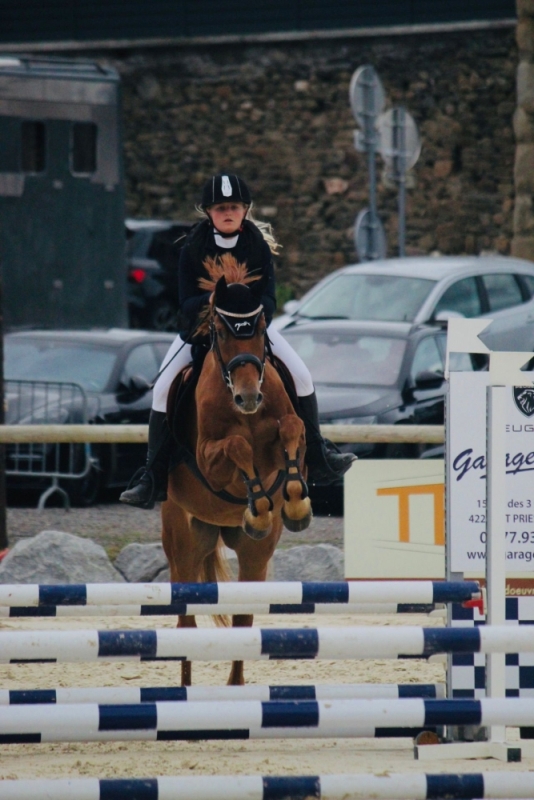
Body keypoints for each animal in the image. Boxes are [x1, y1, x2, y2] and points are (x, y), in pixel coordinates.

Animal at [163, 266, 314, 684]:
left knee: (244, 620)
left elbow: (292, 428)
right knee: (185, 627)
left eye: (260, 328)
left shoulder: (286, 435)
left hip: (253, 554)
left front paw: (294, 504)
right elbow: (237, 446)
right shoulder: (209, 461)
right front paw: (258, 505)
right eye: (222, 329)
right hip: (183, 543)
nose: (248, 398)